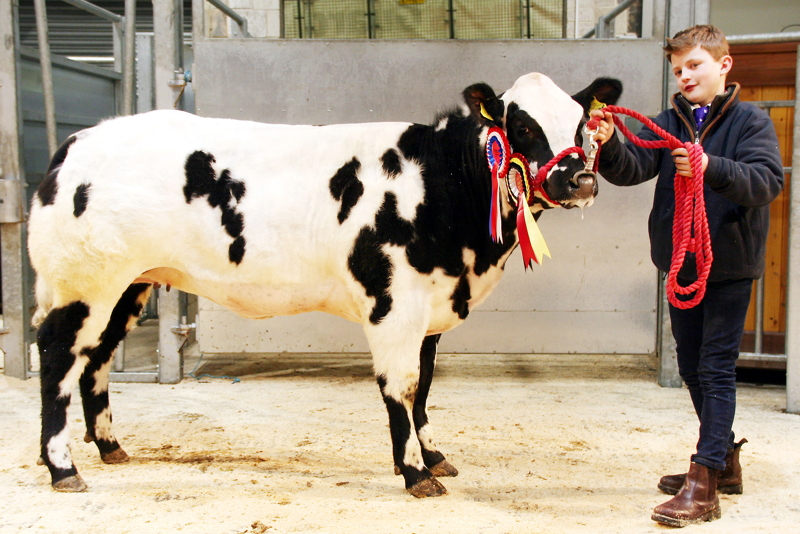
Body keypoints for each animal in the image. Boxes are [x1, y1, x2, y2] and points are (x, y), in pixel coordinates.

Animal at [29, 73, 620, 500]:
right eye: (522, 127)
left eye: (581, 126)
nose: (580, 180)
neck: (440, 184)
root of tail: (80, 139)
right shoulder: (393, 304)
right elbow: (401, 388)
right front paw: (414, 473)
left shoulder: (431, 307)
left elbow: (426, 387)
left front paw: (433, 456)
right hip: (83, 284)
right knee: (58, 356)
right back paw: (63, 467)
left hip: (128, 286)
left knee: (98, 358)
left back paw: (110, 446)